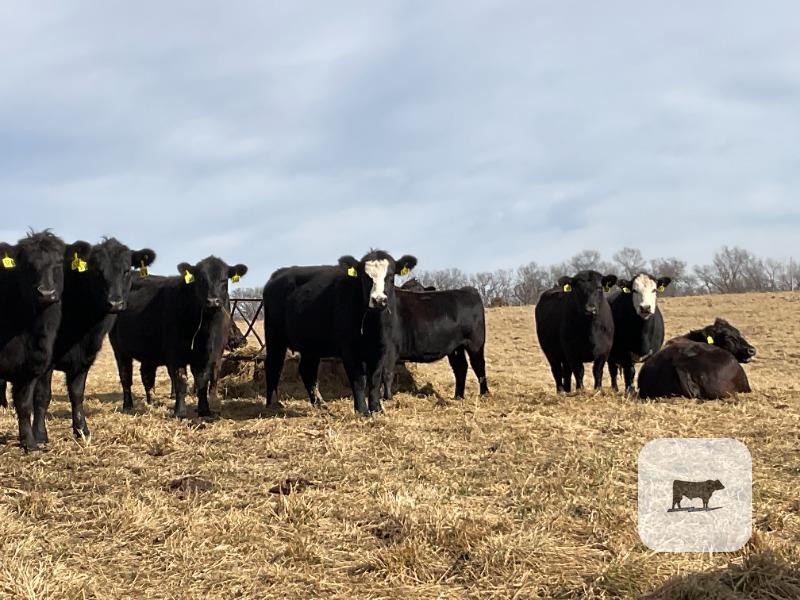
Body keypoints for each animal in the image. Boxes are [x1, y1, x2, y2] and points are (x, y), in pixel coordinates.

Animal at [0, 231, 66, 450]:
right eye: (27, 264)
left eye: (59, 262)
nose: (46, 293)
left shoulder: (30, 369)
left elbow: (24, 405)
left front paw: (29, 442)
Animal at [31, 238, 155, 443]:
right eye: (97, 271)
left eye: (126, 270)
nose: (115, 303)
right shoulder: (45, 361)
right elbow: (43, 395)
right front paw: (40, 435)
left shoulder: (84, 358)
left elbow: (76, 394)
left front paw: (82, 430)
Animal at [109, 257, 248, 418]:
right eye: (200, 279)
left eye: (224, 280)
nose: (213, 301)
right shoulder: (175, 354)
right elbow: (181, 381)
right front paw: (180, 412)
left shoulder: (208, 355)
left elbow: (202, 381)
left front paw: (204, 410)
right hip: (119, 349)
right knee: (125, 376)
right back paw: (127, 405)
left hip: (148, 351)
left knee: (147, 376)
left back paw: (151, 402)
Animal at [263, 250, 417, 415]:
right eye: (365, 277)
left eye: (391, 275)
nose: (378, 300)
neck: (373, 327)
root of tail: (279, 273)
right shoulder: (349, 349)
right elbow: (359, 379)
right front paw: (362, 410)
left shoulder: (381, 348)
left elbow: (375, 379)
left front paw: (376, 409)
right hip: (274, 336)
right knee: (273, 365)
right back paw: (273, 403)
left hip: (311, 344)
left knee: (307, 369)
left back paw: (320, 403)